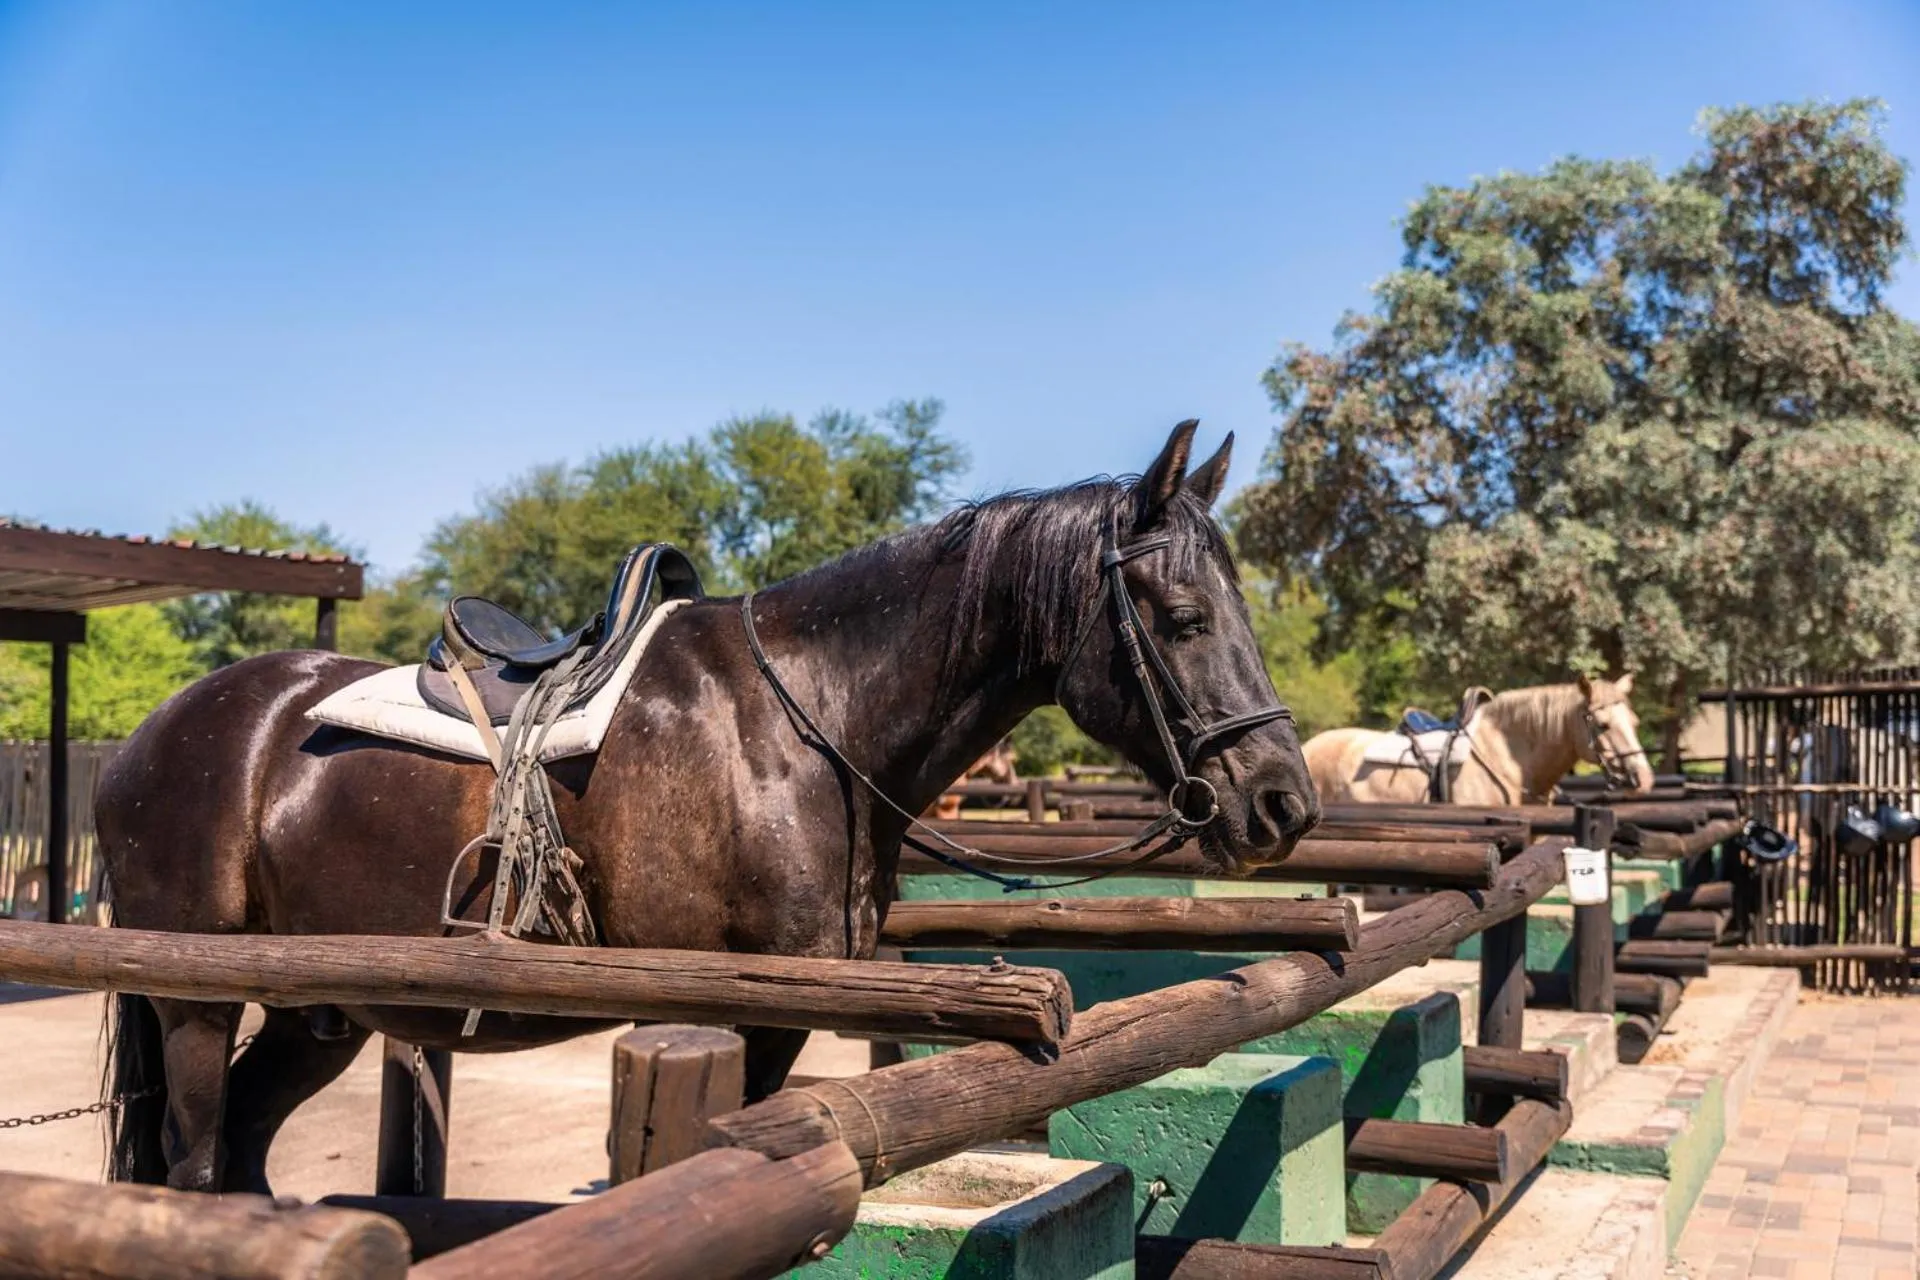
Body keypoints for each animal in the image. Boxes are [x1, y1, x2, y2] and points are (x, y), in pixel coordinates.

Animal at [96, 421, 1320, 1195]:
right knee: (194, 1166)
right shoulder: (725, 1005)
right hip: (196, 1000)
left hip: (318, 1008)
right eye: (1182, 617)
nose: (1283, 802)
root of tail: (147, 739)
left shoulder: (781, 1017)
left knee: (241, 1164)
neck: (808, 724)